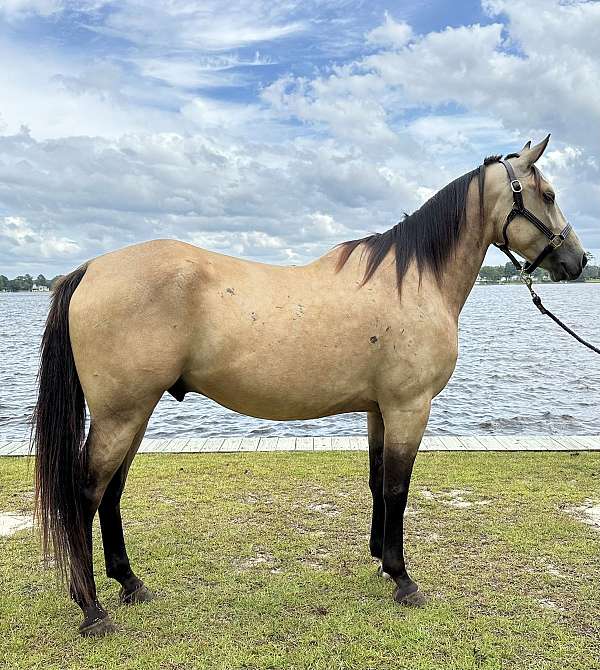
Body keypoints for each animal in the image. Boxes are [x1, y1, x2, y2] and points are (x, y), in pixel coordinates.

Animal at [31, 135, 584, 636]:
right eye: (549, 193)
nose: (577, 261)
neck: (413, 282)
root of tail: (90, 269)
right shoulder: (410, 407)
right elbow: (398, 488)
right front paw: (404, 580)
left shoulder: (379, 409)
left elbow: (377, 481)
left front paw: (382, 561)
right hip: (119, 416)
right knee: (85, 493)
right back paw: (92, 609)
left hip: (135, 413)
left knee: (112, 491)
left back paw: (130, 584)